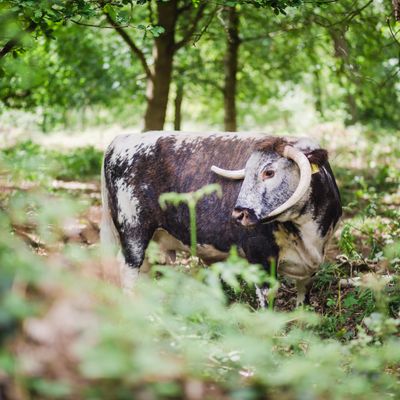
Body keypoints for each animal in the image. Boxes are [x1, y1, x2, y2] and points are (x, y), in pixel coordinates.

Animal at [101, 132, 342, 306]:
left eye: (269, 172)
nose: (239, 213)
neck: (307, 232)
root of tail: (120, 139)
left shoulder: (311, 267)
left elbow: (303, 299)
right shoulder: (260, 258)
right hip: (134, 232)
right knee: (128, 271)